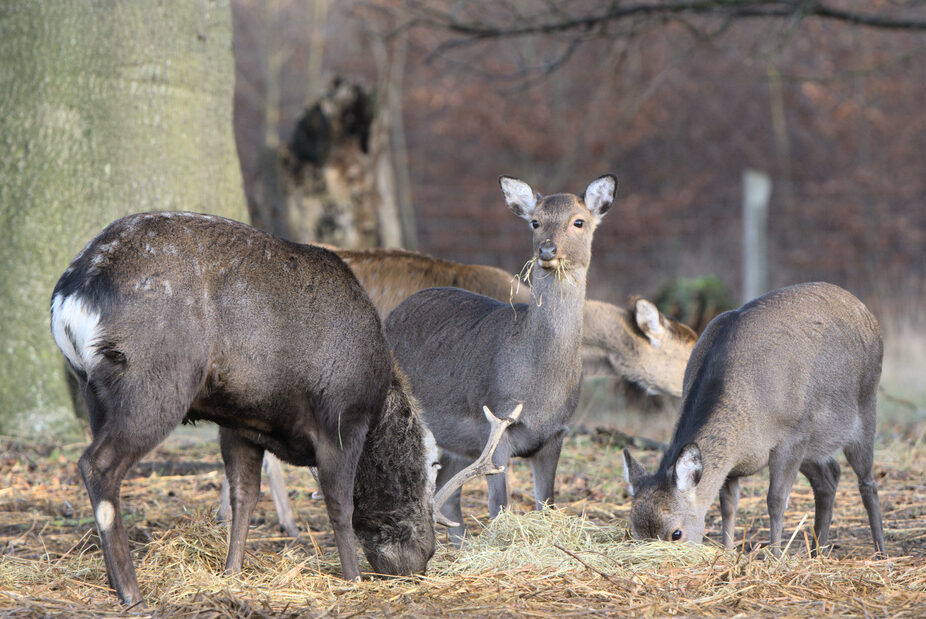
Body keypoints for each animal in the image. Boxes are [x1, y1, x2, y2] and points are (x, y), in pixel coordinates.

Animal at [49, 212, 520, 604]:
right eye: (422, 479)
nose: (421, 560)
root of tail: (70, 298)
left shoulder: (238, 423)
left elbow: (244, 496)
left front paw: (232, 573)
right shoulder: (341, 418)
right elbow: (340, 503)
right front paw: (352, 579)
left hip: (92, 392)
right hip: (155, 379)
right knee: (97, 465)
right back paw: (131, 592)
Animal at [384, 176, 616, 544]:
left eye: (578, 222)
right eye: (535, 222)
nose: (547, 251)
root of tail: (393, 313)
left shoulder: (556, 434)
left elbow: (546, 502)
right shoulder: (495, 426)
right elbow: (499, 508)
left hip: (457, 444)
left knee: (448, 497)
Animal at [624, 280, 892, 556]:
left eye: (676, 533)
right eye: (634, 532)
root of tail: (864, 310)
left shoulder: (792, 435)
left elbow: (776, 500)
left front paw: (776, 556)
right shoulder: (733, 463)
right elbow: (728, 506)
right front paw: (728, 551)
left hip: (864, 408)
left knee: (867, 482)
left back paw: (880, 551)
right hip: (813, 446)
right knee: (830, 476)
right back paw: (817, 551)